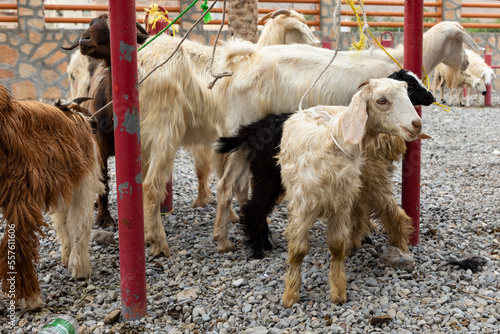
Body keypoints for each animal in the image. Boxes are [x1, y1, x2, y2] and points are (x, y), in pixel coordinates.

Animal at [0, 87, 103, 310]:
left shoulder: (64, 187)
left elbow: (64, 224)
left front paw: (67, 255)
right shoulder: (83, 184)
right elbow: (79, 224)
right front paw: (79, 267)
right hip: (20, 192)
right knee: (18, 240)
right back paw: (29, 297)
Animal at [212, 19, 484, 253]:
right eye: (459, 42)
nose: (466, 64)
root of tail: (240, 64)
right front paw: (368, 230)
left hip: (245, 143)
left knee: (234, 185)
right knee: (227, 185)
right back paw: (229, 241)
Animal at [280, 78, 424, 308]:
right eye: (381, 100)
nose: (416, 125)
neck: (332, 144)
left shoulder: (340, 204)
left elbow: (336, 246)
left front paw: (338, 291)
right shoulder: (304, 205)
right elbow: (298, 250)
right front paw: (290, 294)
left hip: (368, 182)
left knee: (392, 214)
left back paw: (398, 250)